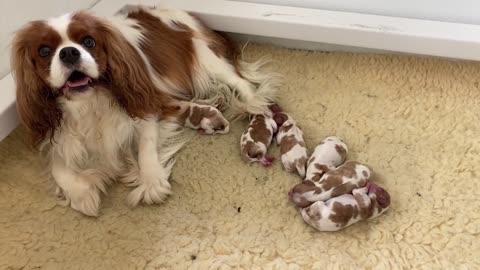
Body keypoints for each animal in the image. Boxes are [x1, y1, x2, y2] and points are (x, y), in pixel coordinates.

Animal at [11, 5, 280, 216]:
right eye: (44, 51)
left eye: (88, 41)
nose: (69, 52)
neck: (90, 102)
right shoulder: (58, 134)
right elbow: (58, 166)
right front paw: (82, 193)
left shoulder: (145, 105)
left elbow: (146, 145)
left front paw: (151, 181)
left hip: (206, 60)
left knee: (240, 82)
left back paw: (254, 103)